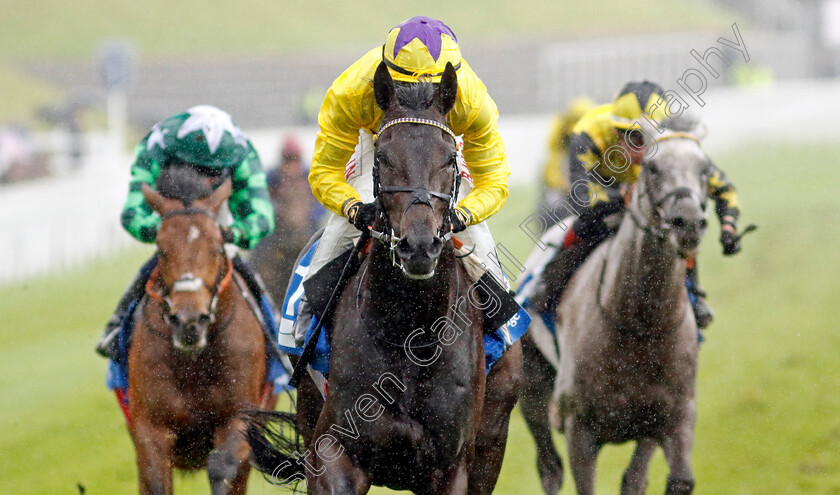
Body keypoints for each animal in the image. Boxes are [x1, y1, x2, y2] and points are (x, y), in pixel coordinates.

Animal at [128, 169, 270, 494]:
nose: (189, 321)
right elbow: (155, 480)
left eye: (216, 246)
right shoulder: (149, 428)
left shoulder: (240, 416)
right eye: (161, 249)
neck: (194, 362)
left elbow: (222, 465)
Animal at [243, 62, 520, 495]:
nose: (418, 246)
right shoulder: (332, 450)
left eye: (449, 158)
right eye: (384, 156)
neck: (411, 332)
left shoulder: (452, 466)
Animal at [520, 117, 712, 495]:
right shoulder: (579, 430)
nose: (687, 223)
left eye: (705, 169)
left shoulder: (672, 418)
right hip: (530, 385)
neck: (639, 324)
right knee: (549, 468)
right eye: (652, 167)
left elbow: (668, 480)